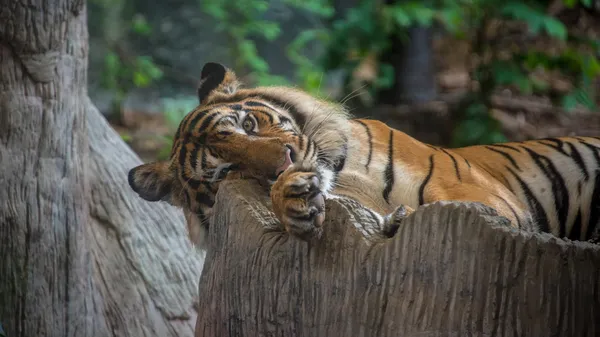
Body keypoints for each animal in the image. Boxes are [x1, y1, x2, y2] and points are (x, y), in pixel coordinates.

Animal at [127, 62, 600, 247]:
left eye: (247, 125)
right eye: (225, 172)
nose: (285, 162)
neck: (345, 172)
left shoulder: (485, 196)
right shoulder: (355, 207)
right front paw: (294, 203)